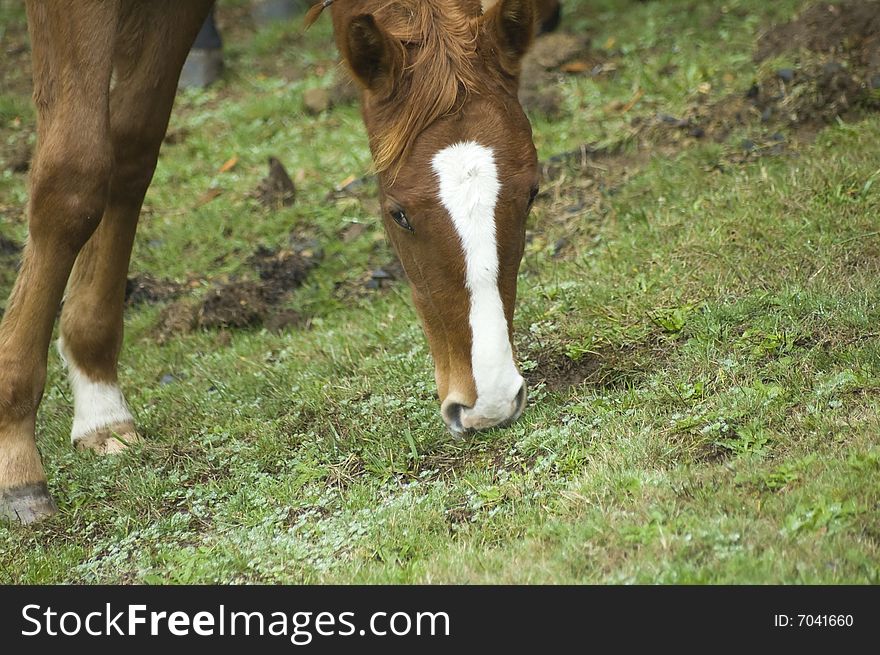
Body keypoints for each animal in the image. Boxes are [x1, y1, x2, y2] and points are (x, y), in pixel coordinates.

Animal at [0, 0, 540, 524]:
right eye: (399, 214)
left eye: (533, 192)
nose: (491, 400)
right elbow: (74, 180)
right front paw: (14, 449)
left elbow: (132, 149)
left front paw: (99, 399)